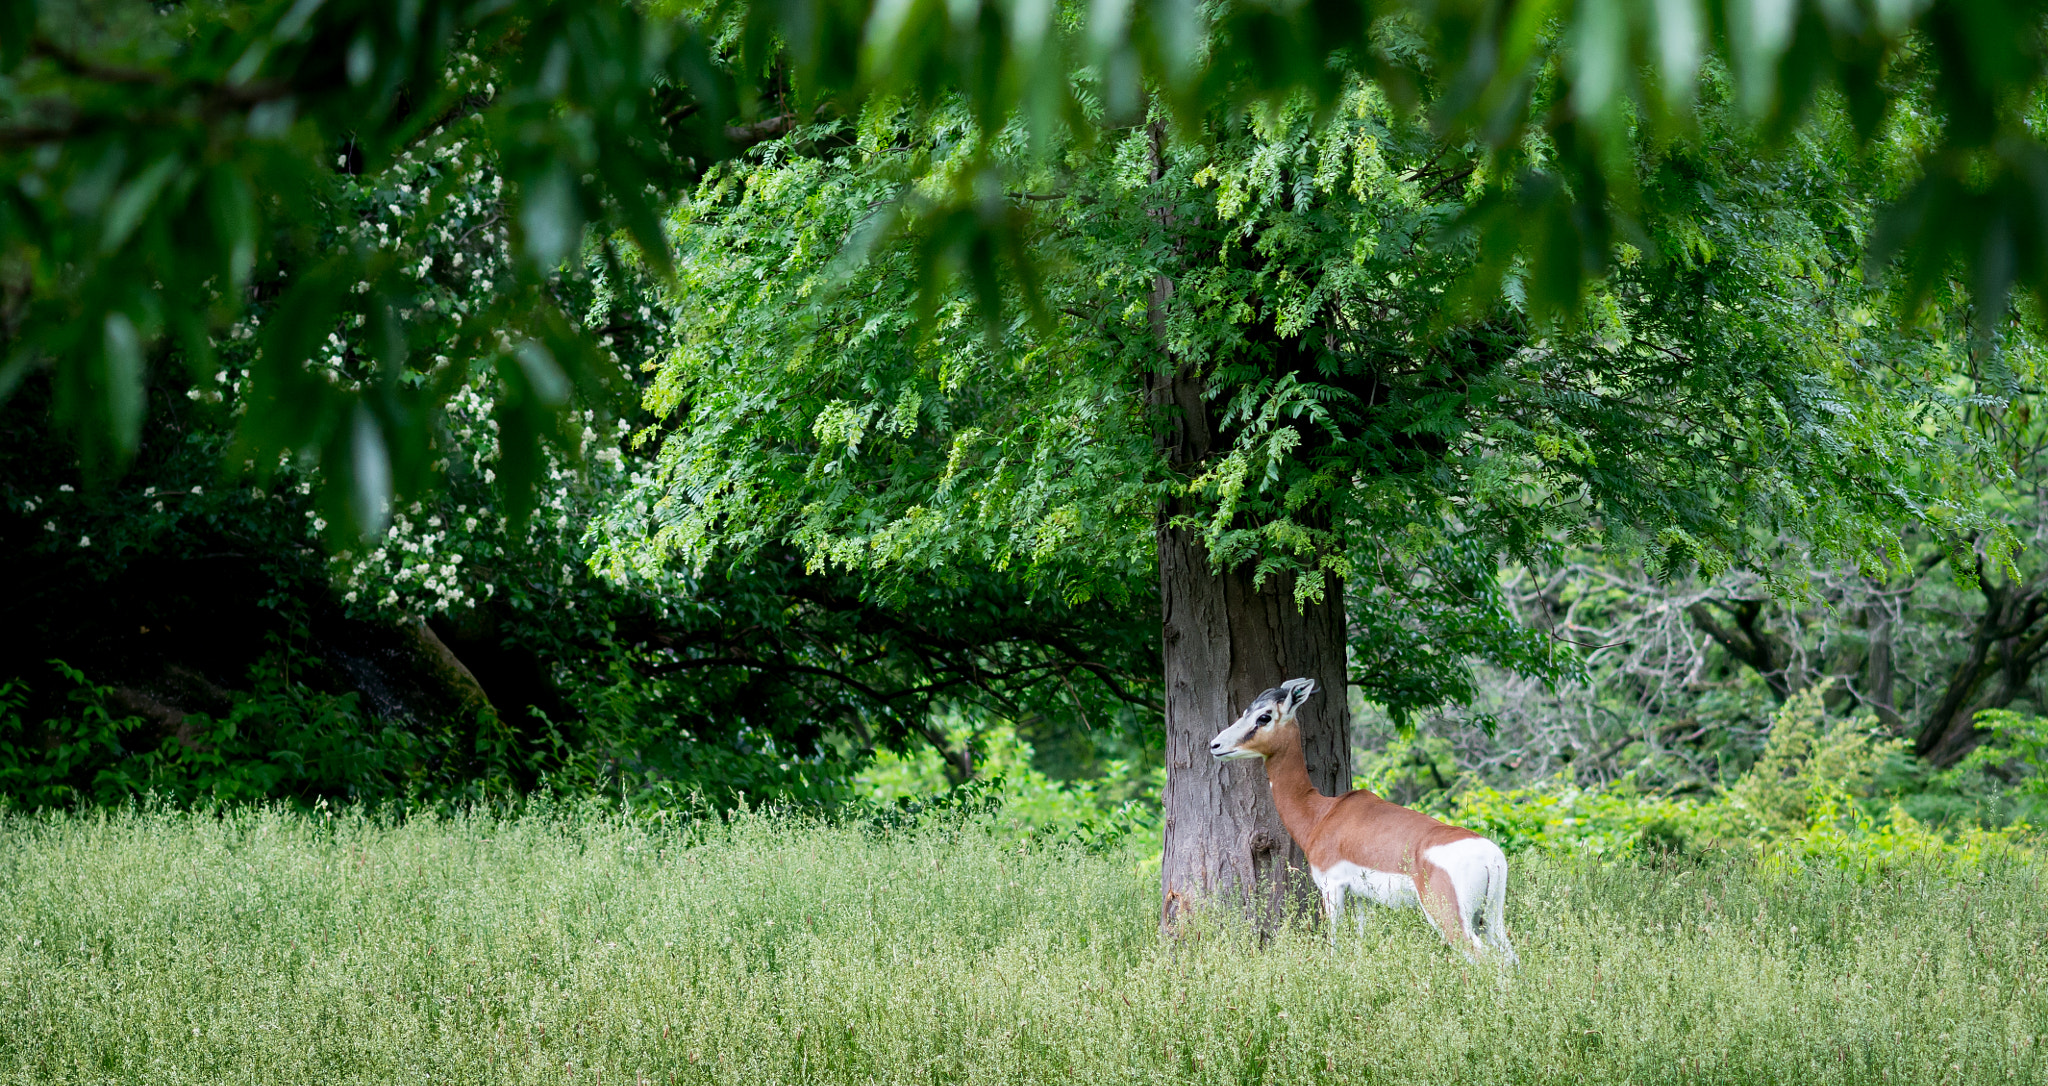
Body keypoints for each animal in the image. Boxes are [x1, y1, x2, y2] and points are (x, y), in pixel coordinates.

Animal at [1196, 676, 1523, 963]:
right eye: (1245, 712)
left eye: (1264, 717)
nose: (1215, 745)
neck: (1321, 814)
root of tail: (1490, 855)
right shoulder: (1363, 898)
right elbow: (1362, 942)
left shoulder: (1332, 889)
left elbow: (1334, 945)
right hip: (1490, 919)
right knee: (1510, 959)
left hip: (1449, 917)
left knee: (1484, 960)